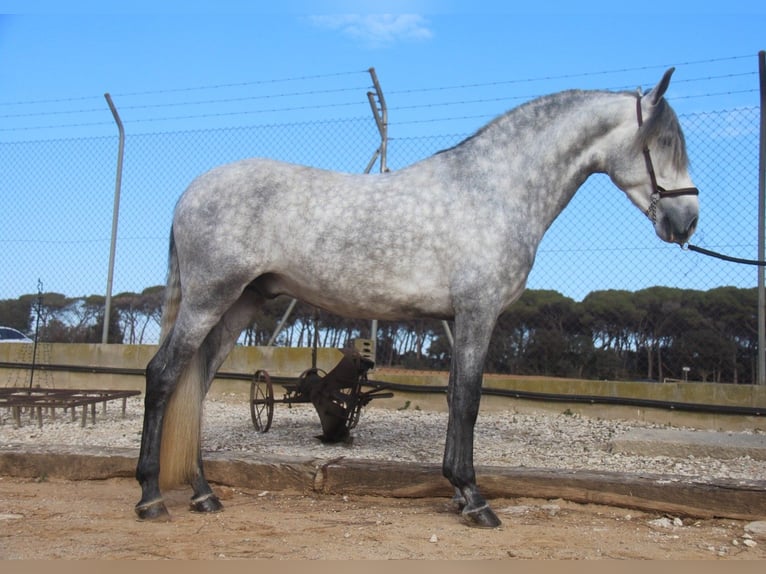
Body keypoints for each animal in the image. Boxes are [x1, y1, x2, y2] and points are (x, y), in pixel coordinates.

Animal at [135, 66, 700, 528]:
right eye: (663, 142)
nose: (687, 222)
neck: (493, 190)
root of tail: (190, 193)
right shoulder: (477, 313)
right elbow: (467, 401)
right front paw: (475, 500)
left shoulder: (462, 319)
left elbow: (454, 399)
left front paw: (458, 491)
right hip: (210, 299)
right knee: (163, 375)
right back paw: (150, 498)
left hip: (240, 305)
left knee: (196, 385)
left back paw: (204, 494)